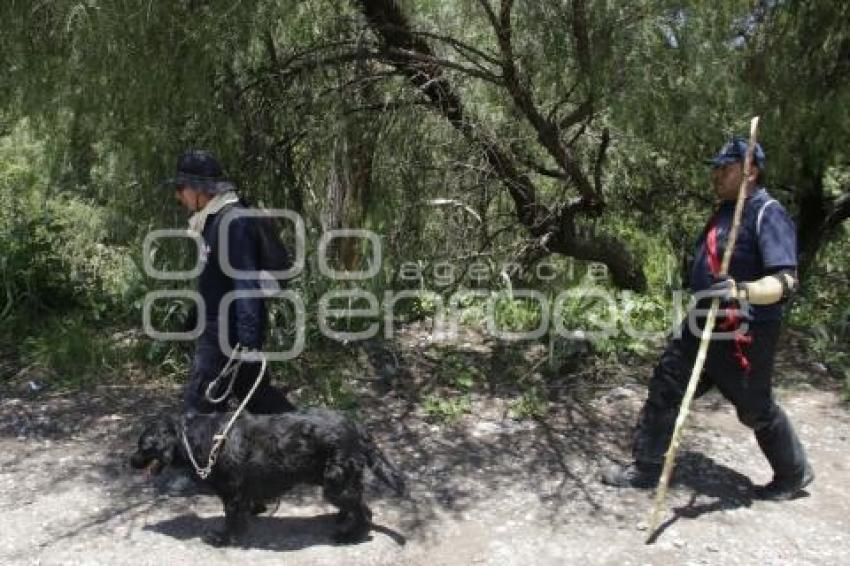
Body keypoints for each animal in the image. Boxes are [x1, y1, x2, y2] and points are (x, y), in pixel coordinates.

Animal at [132, 410, 408, 548]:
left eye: (142, 447)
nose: (129, 462)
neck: (198, 437)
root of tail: (358, 428)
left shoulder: (232, 493)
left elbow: (232, 520)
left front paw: (223, 540)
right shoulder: (242, 492)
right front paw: (256, 512)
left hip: (336, 482)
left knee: (366, 513)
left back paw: (351, 537)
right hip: (331, 480)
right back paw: (342, 518)